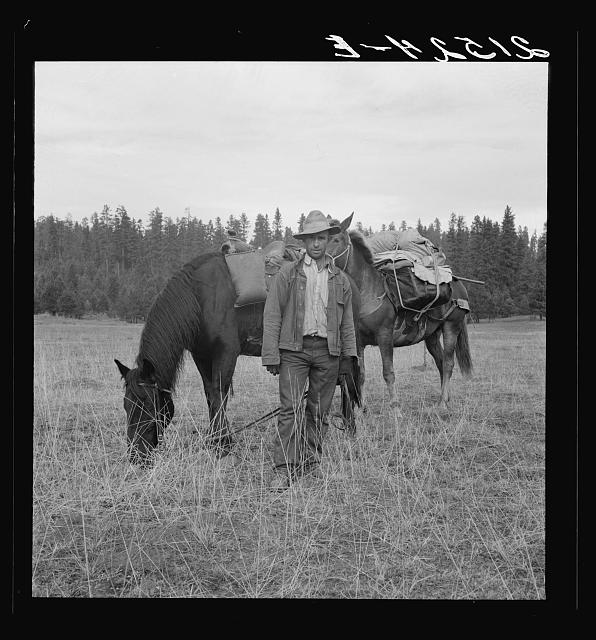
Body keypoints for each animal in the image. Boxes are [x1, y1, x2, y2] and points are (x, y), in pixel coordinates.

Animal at [114, 249, 360, 464]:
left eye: (148, 404)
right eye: (126, 405)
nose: (136, 455)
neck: (200, 296)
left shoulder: (226, 353)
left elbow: (219, 393)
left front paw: (222, 444)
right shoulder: (201, 355)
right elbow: (210, 394)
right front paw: (216, 439)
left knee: (347, 383)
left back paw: (349, 429)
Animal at [324, 214, 472, 416]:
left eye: (337, 239)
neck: (366, 289)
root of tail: (458, 285)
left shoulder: (384, 336)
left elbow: (388, 372)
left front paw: (395, 409)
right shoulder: (358, 341)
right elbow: (361, 374)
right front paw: (362, 409)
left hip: (451, 327)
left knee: (448, 364)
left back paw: (442, 403)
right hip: (432, 336)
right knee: (441, 362)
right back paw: (445, 399)